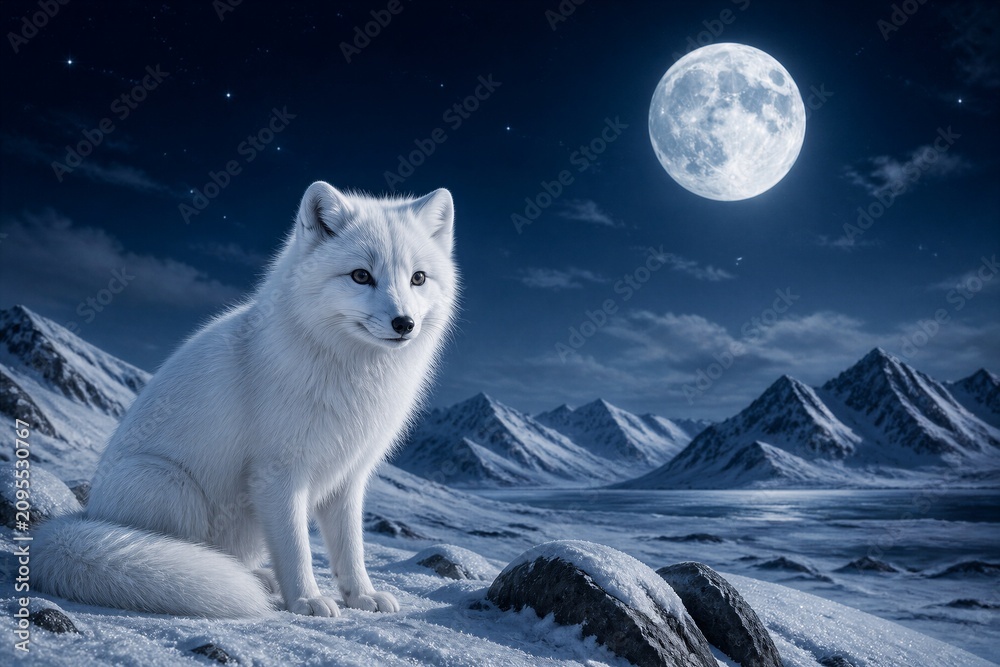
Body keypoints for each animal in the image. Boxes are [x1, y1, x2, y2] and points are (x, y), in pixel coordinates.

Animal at [33, 181, 459, 617]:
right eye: (361, 276)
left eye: (418, 278)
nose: (404, 323)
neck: (356, 374)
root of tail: (86, 513)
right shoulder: (278, 472)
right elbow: (296, 548)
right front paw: (307, 600)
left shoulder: (349, 476)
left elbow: (350, 549)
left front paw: (361, 596)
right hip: (170, 487)